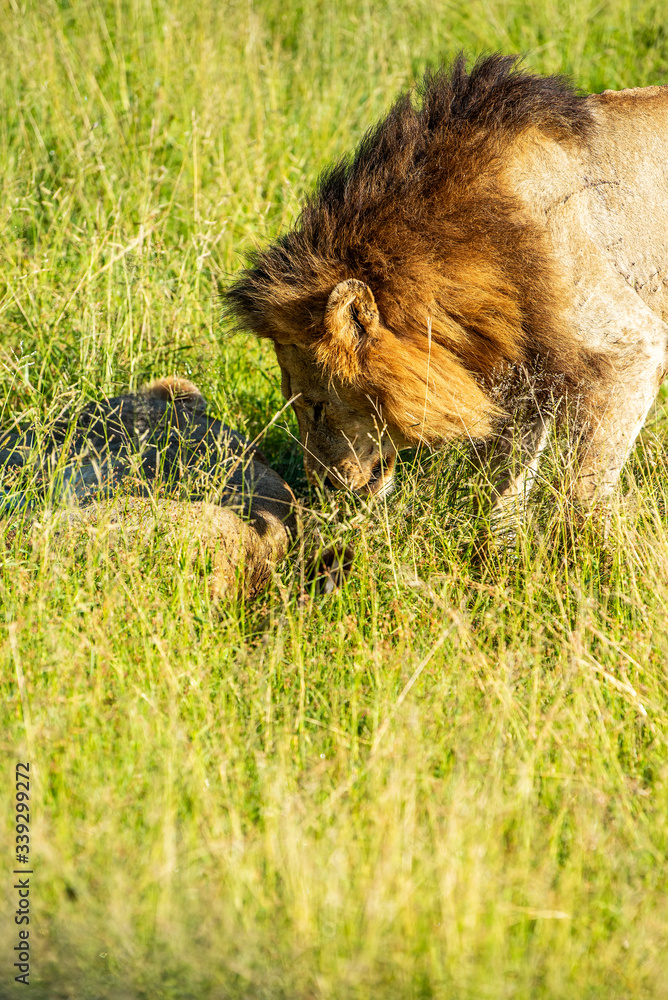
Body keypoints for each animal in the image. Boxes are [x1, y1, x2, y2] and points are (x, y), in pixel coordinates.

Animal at [227, 54, 668, 523]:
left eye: (316, 405)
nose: (323, 485)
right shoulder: (528, 366)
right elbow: (502, 483)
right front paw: (495, 540)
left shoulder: (630, 351)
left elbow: (583, 491)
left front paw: (574, 542)